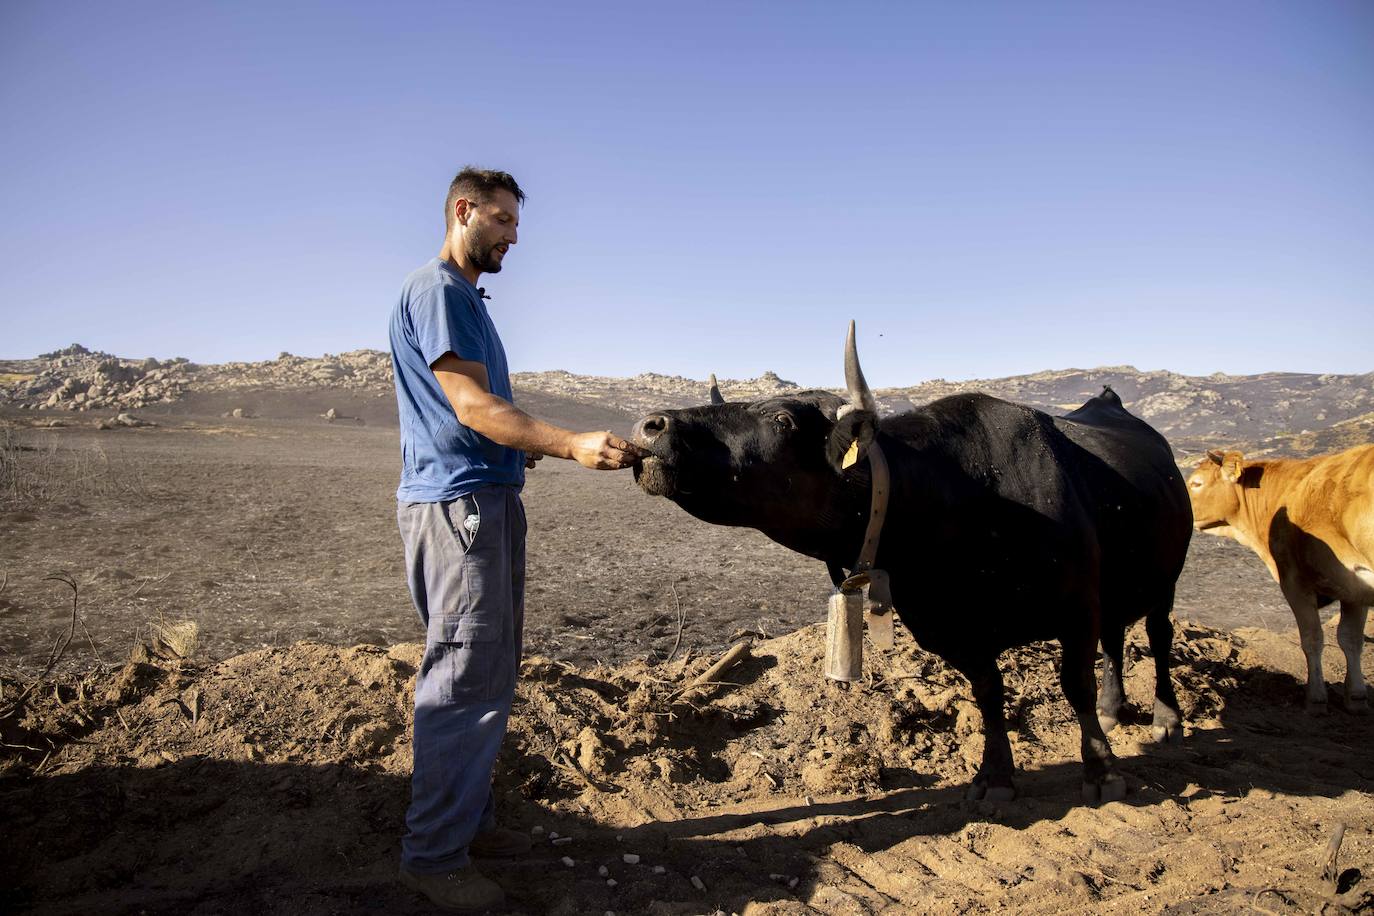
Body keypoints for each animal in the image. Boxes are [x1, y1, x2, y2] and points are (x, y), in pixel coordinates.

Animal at [632, 324, 1192, 802]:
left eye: (782, 419)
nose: (650, 425)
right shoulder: (953, 630)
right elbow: (989, 693)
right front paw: (995, 776)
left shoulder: (1075, 608)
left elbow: (1074, 684)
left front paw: (1101, 770)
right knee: (1116, 640)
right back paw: (1114, 708)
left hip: (1165, 579)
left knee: (1158, 637)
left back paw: (1166, 717)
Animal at [1187, 444, 1368, 714]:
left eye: (1197, 483)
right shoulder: (1353, 589)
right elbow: (1350, 639)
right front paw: (1356, 697)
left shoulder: (1295, 582)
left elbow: (1312, 638)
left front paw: (1315, 698)